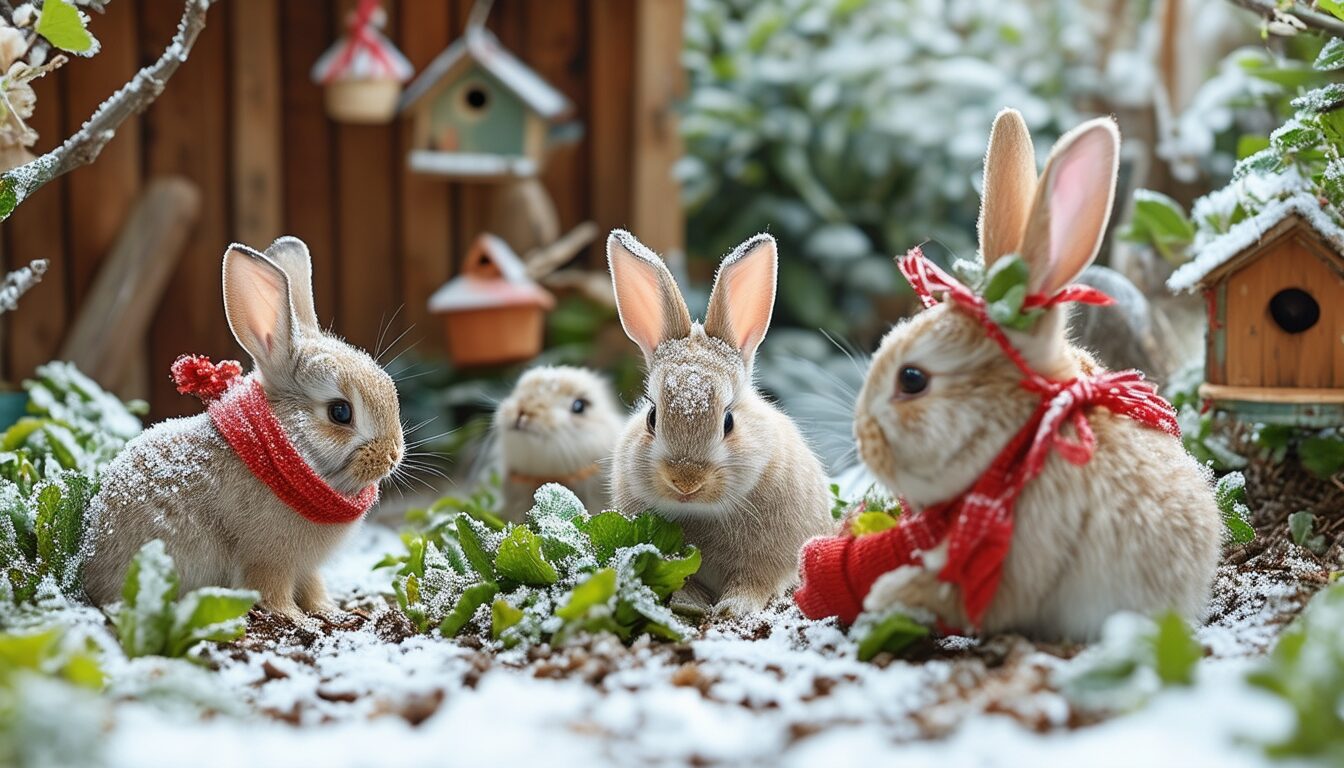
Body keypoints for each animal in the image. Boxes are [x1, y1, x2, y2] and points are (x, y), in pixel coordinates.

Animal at [77, 234, 400, 618]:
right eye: (340, 412)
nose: (393, 455)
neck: (281, 455)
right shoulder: (268, 558)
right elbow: (272, 590)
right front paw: (296, 619)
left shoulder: (306, 568)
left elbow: (313, 587)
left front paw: (329, 611)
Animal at [610, 229, 838, 618]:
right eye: (652, 417)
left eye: (729, 420)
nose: (686, 480)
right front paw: (690, 603)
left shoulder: (766, 561)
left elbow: (752, 583)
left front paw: (734, 609)